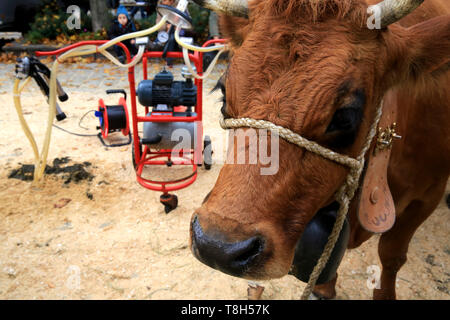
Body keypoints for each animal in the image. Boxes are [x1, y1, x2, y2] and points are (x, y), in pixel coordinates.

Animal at [188, 0, 448, 300]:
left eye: (345, 116)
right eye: (222, 94)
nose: (217, 246)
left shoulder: (428, 196)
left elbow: (392, 256)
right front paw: (324, 288)